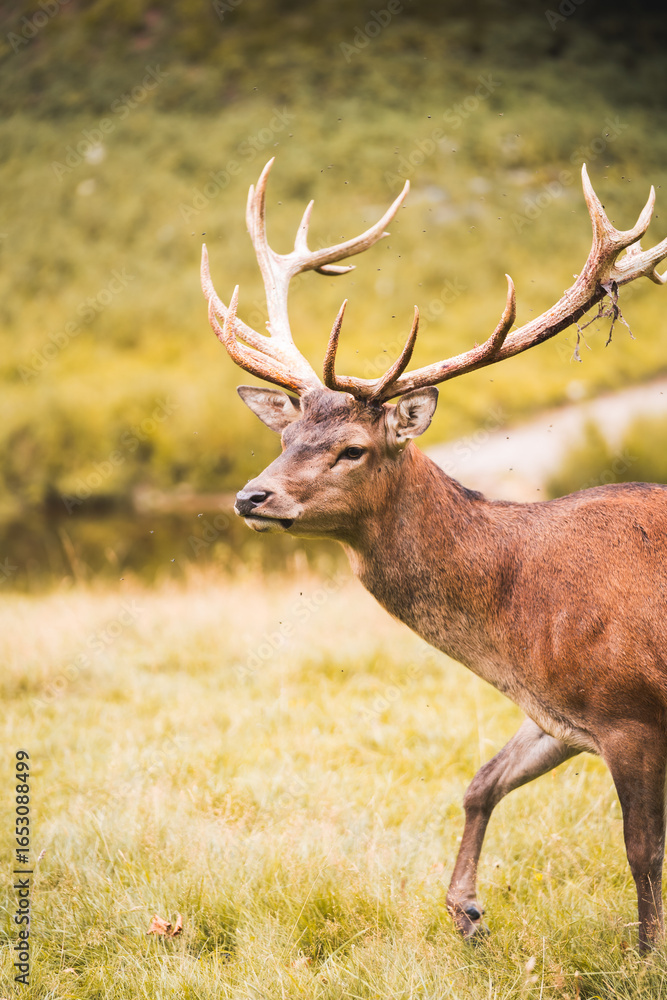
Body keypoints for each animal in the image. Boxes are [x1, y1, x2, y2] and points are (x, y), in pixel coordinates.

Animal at [200, 158, 667, 950]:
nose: (250, 497)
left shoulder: (629, 710)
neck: (516, 617)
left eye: (352, 449)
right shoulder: (560, 714)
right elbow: (481, 780)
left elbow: (642, 853)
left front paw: (643, 956)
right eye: (285, 436)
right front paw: (465, 910)